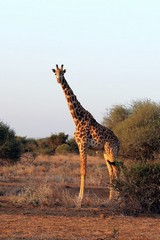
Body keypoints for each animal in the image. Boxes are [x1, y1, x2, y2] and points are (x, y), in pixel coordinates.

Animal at [52, 63, 120, 202]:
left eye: (63, 73)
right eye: (55, 73)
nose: (58, 80)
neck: (77, 119)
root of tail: (118, 141)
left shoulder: (83, 144)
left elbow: (84, 171)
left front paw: (80, 198)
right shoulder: (79, 145)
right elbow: (81, 170)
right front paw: (80, 196)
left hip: (111, 150)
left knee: (117, 170)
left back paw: (120, 197)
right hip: (105, 152)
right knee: (111, 172)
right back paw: (111, 197)